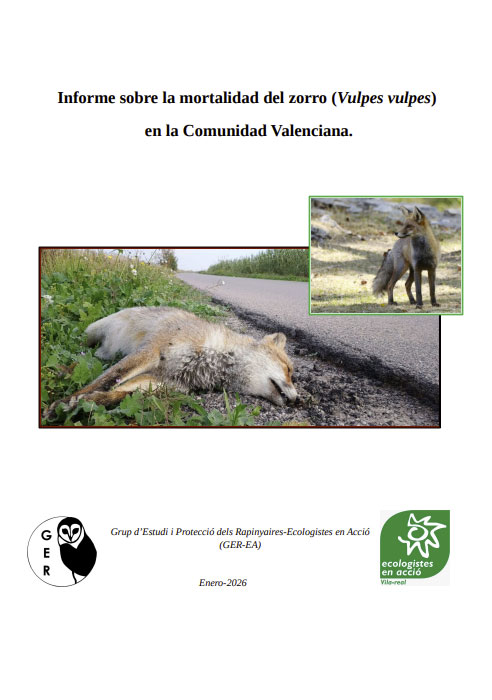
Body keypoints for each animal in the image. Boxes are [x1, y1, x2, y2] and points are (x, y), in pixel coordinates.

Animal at [44, 306, 297, 419]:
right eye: (289, 370)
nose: (298, 400)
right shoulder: (151, 351)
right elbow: (105, 380)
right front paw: (64, 402)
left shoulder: (164, 381)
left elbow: (116, 394)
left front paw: (87, 402)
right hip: (91, 335)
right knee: (79, 355)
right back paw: (62, 369)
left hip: (103, 354)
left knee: (89, 361)